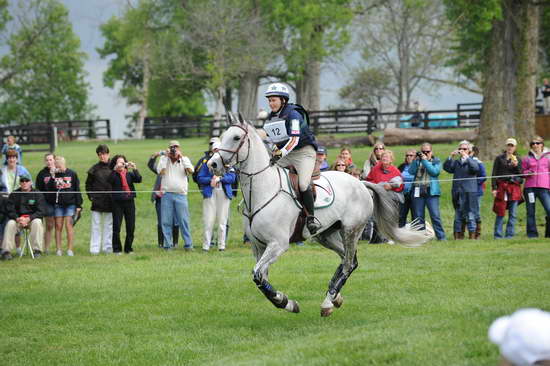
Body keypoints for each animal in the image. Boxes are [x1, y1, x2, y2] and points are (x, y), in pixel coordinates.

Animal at [209, 116, 434, 316]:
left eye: (236, 137)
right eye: (223, 136)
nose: (213, 165)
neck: (263, 190)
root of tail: (361, 182)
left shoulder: (278, 244)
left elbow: (257, 275)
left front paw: (285, 302)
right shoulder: (259, 246)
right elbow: (261, 278)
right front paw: (285, 301)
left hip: (351, 230)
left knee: (349, 264)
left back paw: (328, 302)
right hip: (326, 235)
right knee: (347, 260)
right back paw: (335, 297)